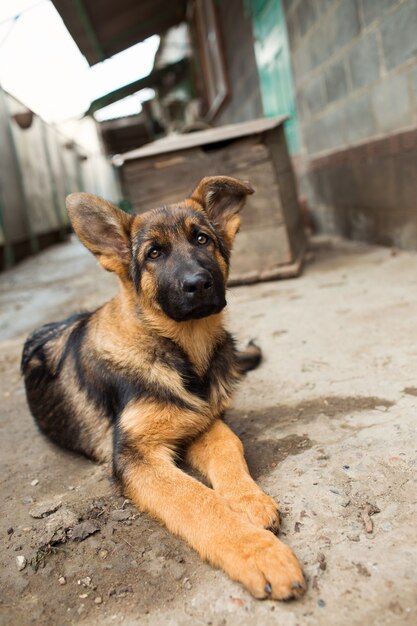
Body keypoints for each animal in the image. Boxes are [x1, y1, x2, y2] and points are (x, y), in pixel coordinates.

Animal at [20, 176, 302, 600]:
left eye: (202, 239)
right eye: (153, 253)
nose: (198, 284)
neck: (178, 350)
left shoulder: (199, 420)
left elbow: (228, 444)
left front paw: (248, 500)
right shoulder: (137, 456)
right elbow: (198, 500)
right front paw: (261, 553)